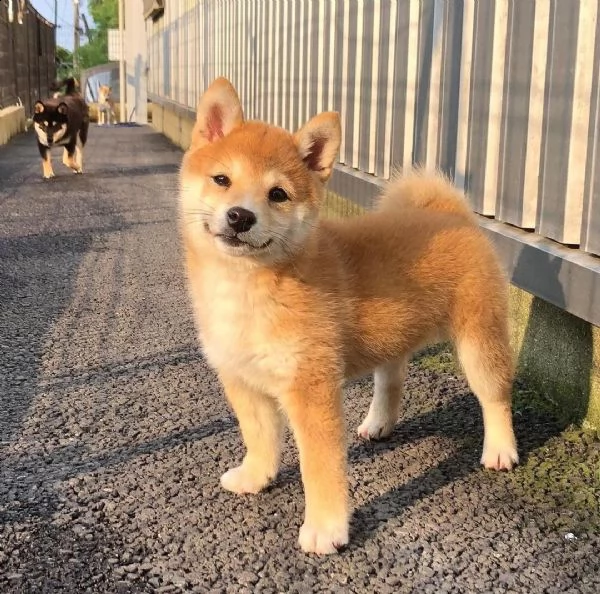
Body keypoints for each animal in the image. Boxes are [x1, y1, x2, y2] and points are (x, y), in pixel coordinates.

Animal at [177, 78, 516, 556]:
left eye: (277, 194)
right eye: (221, 179)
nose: (240, 216)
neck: (247, 286)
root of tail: (453, 214)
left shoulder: (311, 388)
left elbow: (320, 469)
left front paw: (326, 528)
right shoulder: (243, 379)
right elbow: (259, 437)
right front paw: (256, 476)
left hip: (479, 339)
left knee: (495, 395)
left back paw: (501, 449)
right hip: (394, 336)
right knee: (391, 382)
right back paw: (378, 424)